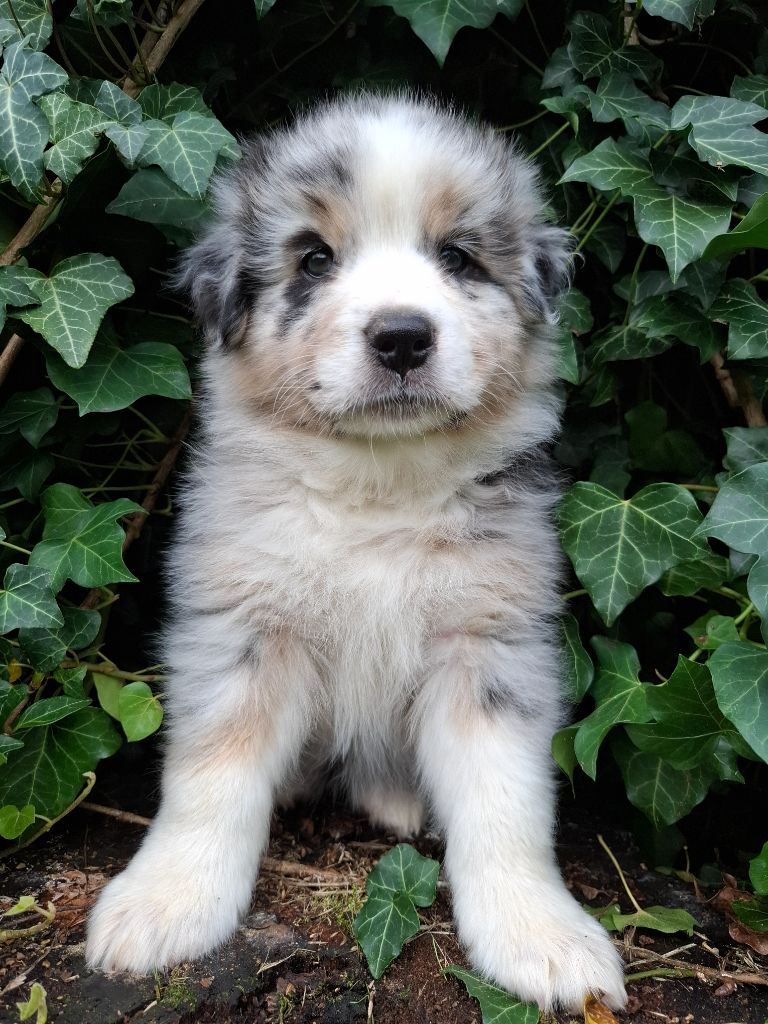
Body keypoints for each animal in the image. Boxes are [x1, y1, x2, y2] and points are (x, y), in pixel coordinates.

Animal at [86, 93, 626, 1012]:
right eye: (313, 260)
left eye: (457, 256)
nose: (402, 337)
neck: (378, 485)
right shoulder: (243, 629)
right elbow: (209, 778)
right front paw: (166, 903)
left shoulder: (488, 643)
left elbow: (507, 805)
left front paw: (542, 937)